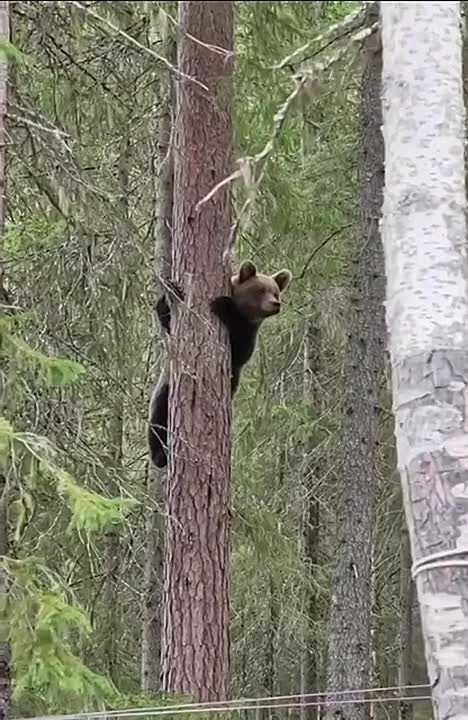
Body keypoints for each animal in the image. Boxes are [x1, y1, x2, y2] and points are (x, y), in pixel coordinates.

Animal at [148, 260, 292, 468]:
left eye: (275, 292)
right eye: (260, 290)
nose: (275, 304)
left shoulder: (248, 334)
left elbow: (241, 350)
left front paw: (222, 304)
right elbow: (167, 320)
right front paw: (172, 290)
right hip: (166, 387)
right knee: (157, 417)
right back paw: (159, 455)